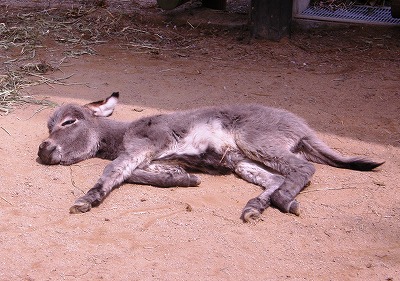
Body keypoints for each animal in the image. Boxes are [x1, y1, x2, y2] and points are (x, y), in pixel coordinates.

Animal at [38, 92, 384, 221]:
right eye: (49, 126)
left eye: (69, 122)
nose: (43, 150)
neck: (122, 134)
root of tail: (302, 126)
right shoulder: (155, 156)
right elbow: (136, 172)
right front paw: (183, 178)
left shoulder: (144, 145)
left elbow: (113, 170)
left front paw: (87, 199)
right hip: (241, 160)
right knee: (276, 177)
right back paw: (256, 206)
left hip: (256, 141)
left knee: (303, 169)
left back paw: (284, 201)